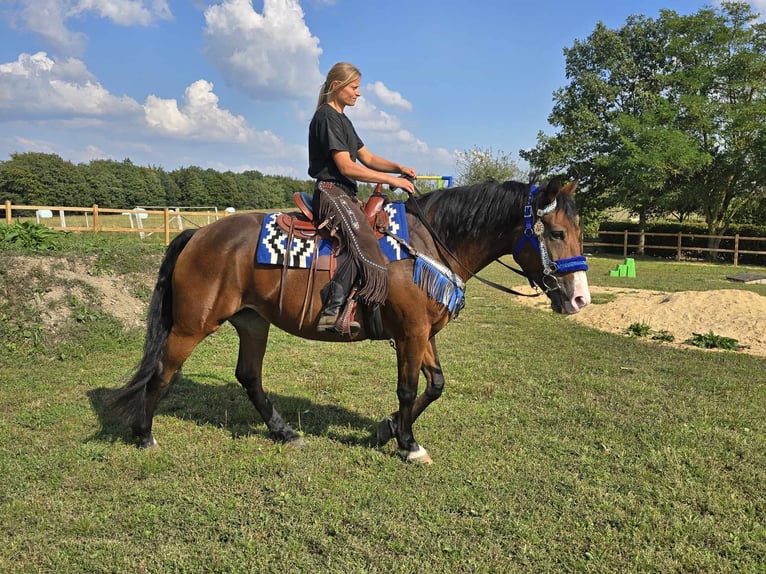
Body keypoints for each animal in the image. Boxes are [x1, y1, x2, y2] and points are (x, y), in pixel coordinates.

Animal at [112, 179, 592, 464]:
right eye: (555, 233)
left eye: (579, 231)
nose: (580, 299)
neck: (428, 246)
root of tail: (199, 233)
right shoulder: (411, 334)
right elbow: (408, 389)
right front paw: (407, 444)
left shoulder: (425, 333)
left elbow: (435, 385)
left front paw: (388, 428)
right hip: (192, 326)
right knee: (162, 373)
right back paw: (143, 435)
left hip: (252, 322)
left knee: (248, 376)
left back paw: (284, 432)